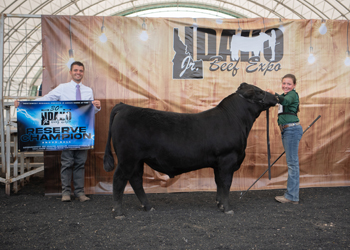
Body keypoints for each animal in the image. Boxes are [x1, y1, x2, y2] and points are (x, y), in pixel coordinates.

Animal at [104, 83, 278, 216]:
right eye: (259, 92)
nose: (276, 97)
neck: (236, 120)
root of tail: (124, 106)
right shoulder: (228, 159)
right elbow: (226, 183)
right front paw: (227, 208)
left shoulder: (218, 163)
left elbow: (219, 182)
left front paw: (219, 204)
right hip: (127, 158)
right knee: (119, 179)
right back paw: (118, 212)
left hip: (137, 160)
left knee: (136, 180)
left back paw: (148, 207)